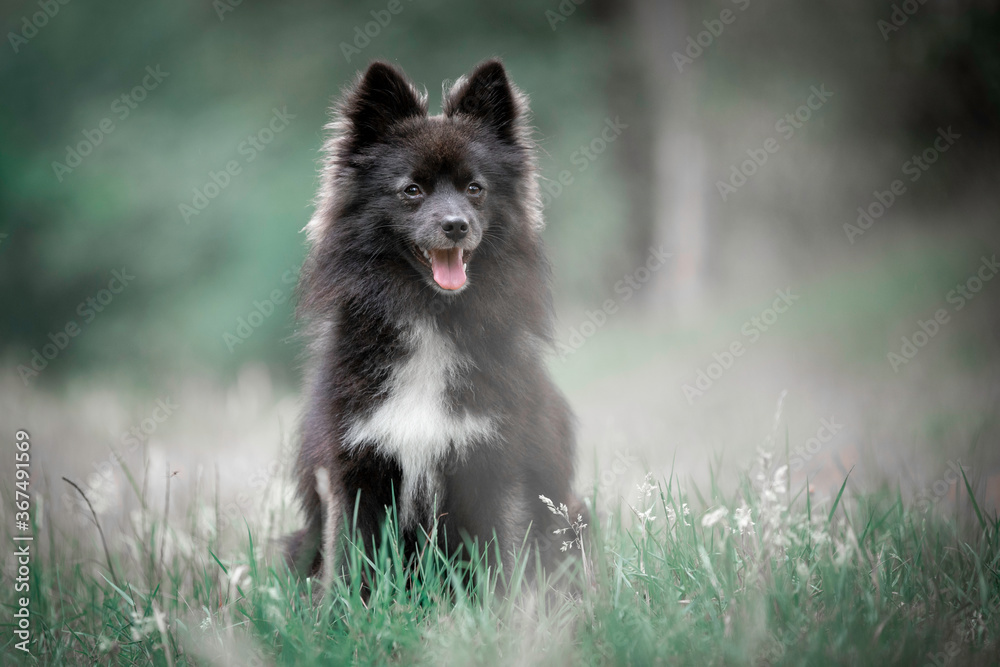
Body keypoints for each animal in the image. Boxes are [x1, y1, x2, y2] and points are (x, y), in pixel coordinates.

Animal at [288, 58, 584, 584]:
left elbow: (503, 562)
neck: (432, 319)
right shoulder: (353, 470)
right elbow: (348, 566)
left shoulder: (494, 467)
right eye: (412, 190)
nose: (456, 226)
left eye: (474, 189)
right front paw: (341, 608)